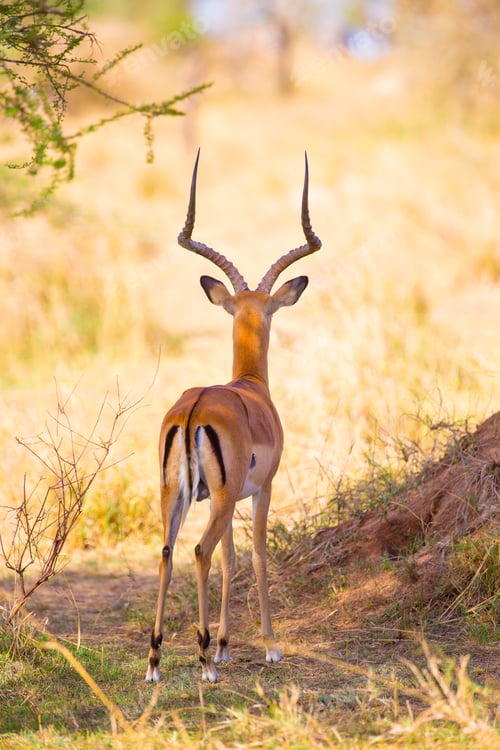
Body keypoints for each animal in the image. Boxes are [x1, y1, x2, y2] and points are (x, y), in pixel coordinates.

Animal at [146, 151, 321, 683]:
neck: (250, 387)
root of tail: (195, 408)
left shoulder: (227, 496)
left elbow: (231, 559)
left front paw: (225, 645)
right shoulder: (263, 488)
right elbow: (257, 557)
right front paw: (268, 646)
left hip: (178, 493)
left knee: (168, 553)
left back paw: (157, 660)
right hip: (219, 499)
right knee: (198, 550)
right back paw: (202, 660)